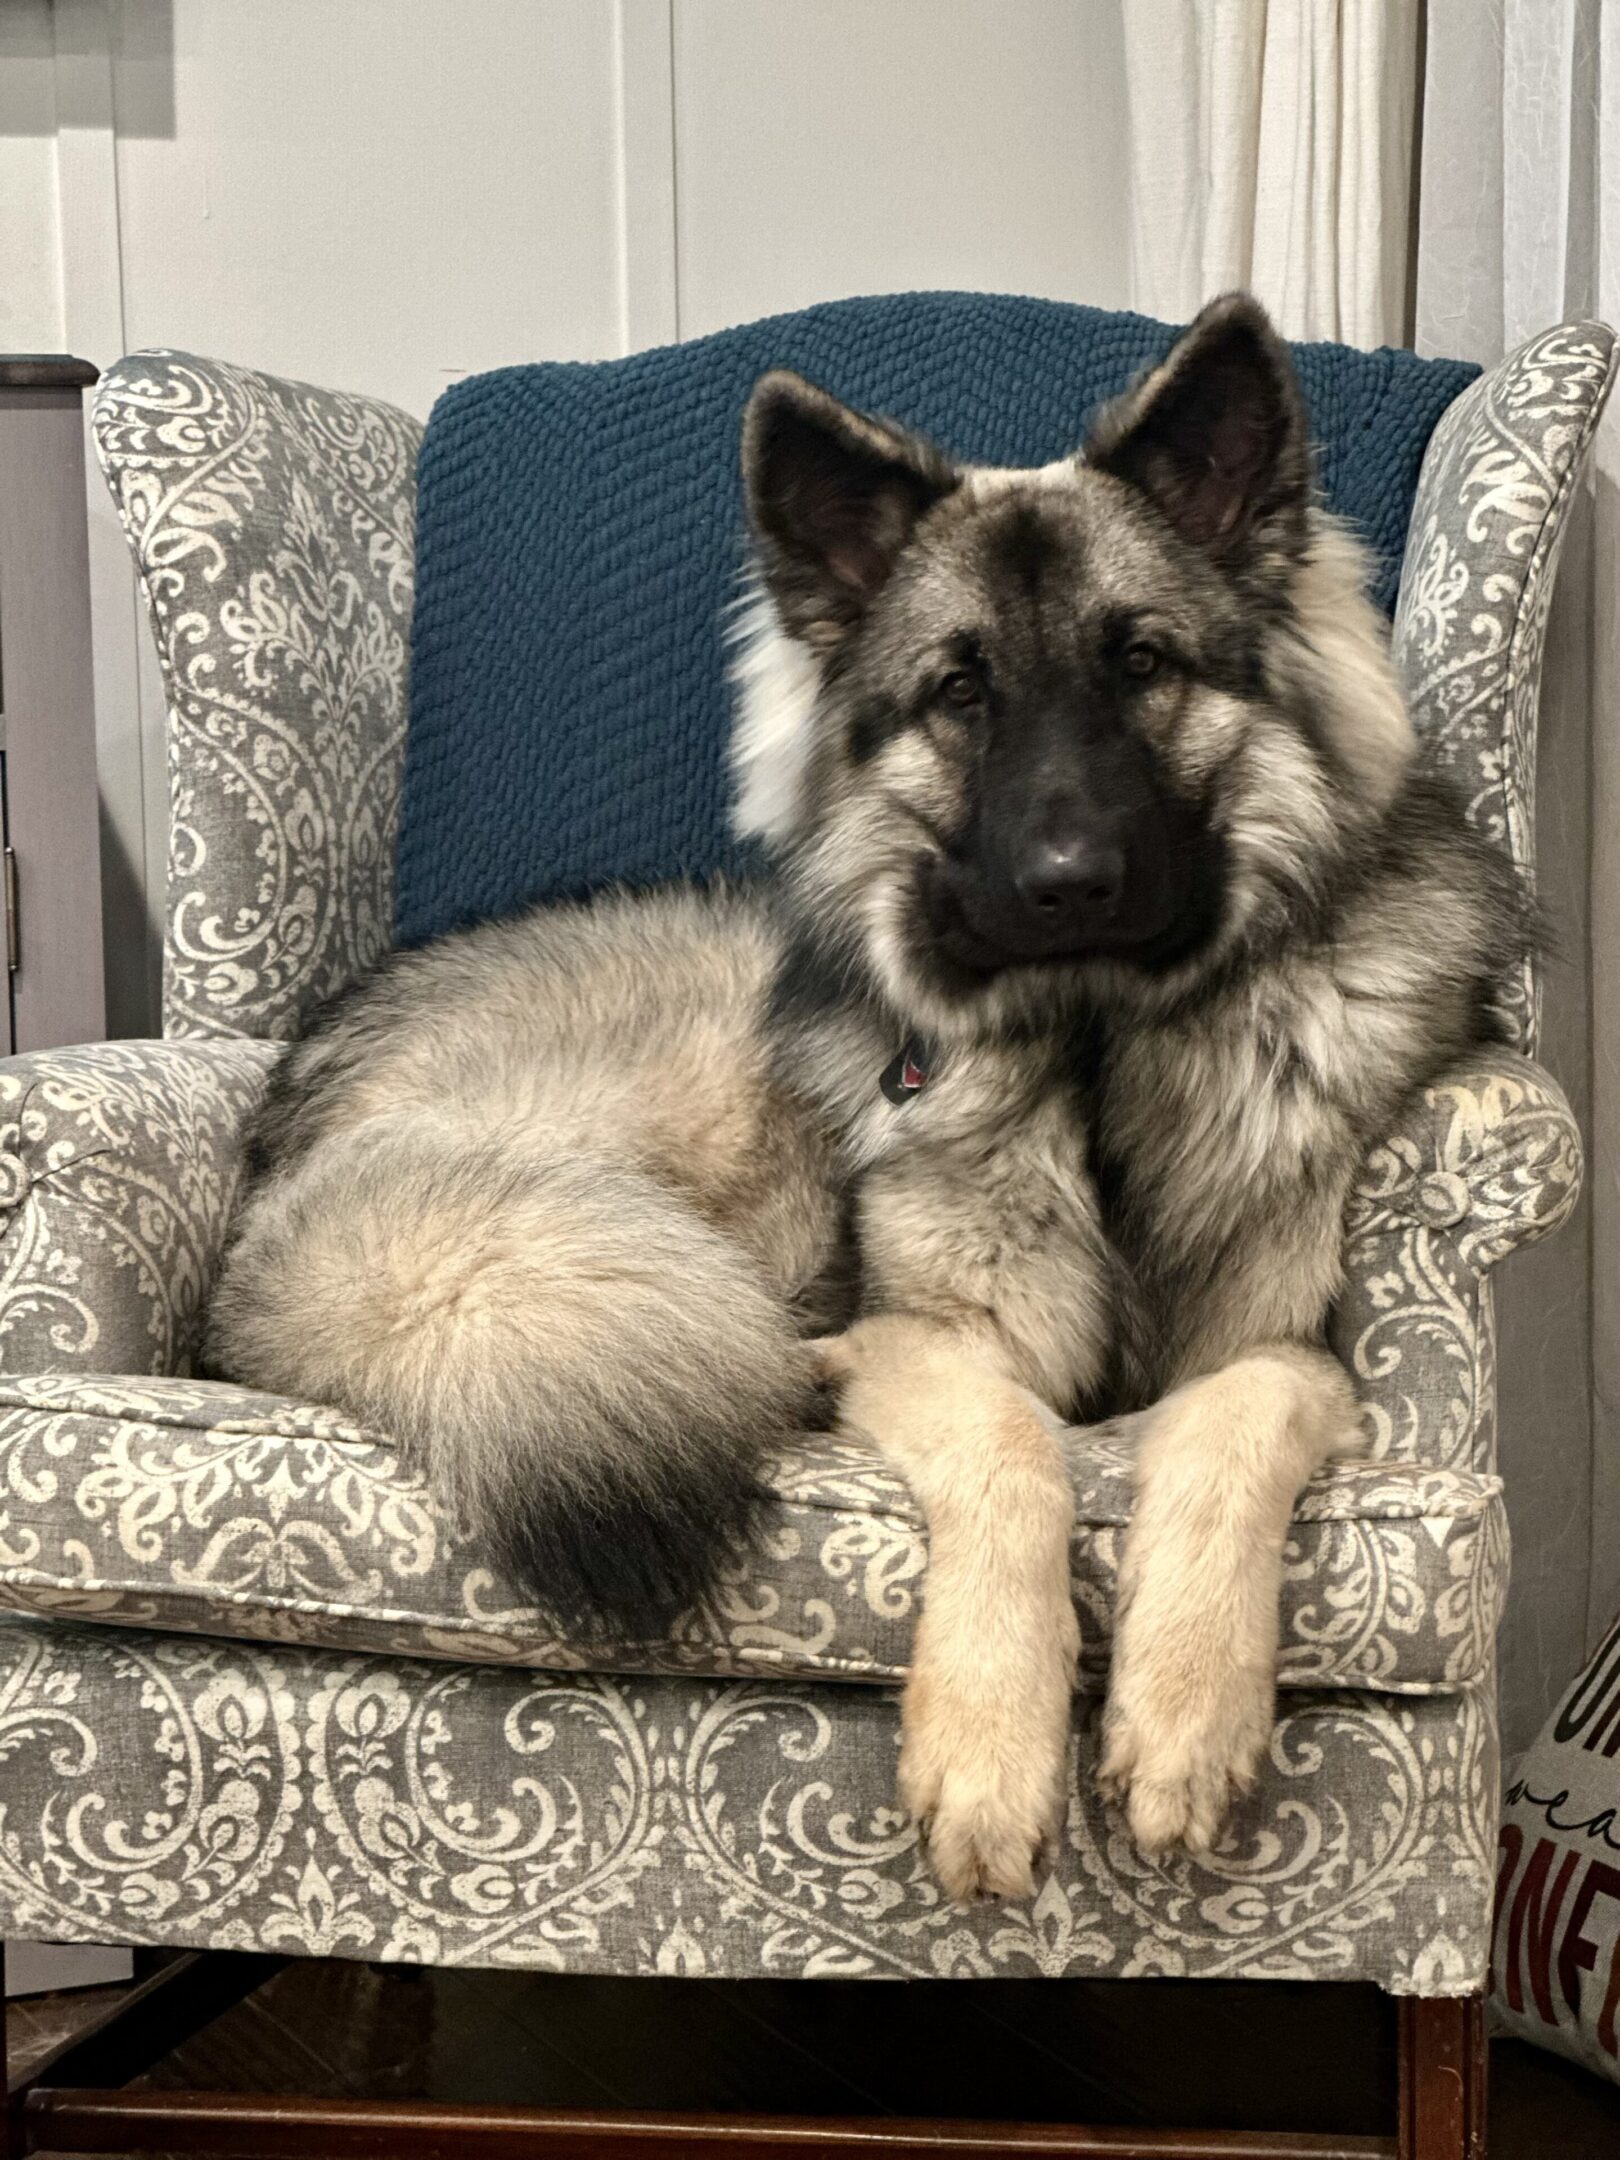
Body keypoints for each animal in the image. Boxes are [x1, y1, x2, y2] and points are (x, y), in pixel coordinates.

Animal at [209, 291, 1529, 1909]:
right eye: (961, 693)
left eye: (1144, 663)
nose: (1067, 883)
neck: (1090, 1048)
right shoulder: (912, 1339)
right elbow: (1015, 1450)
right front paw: (990, 1752)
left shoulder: (1292, 1345)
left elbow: (1232, 1421)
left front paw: (1183, 1720)